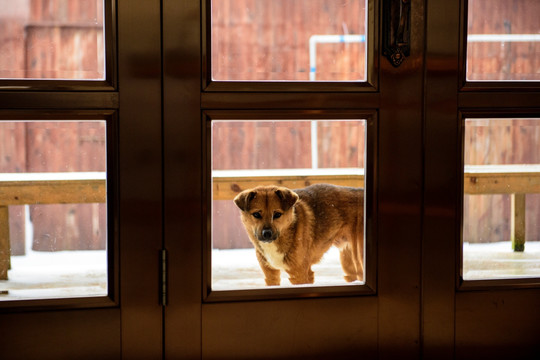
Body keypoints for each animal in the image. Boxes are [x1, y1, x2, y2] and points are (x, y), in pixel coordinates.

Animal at [232, 184, 362, 286]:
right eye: (256, 214)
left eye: (277, 214)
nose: (267, 234)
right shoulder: (270, 275)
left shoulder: (300, 275)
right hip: (348, 264)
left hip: (359, 258)